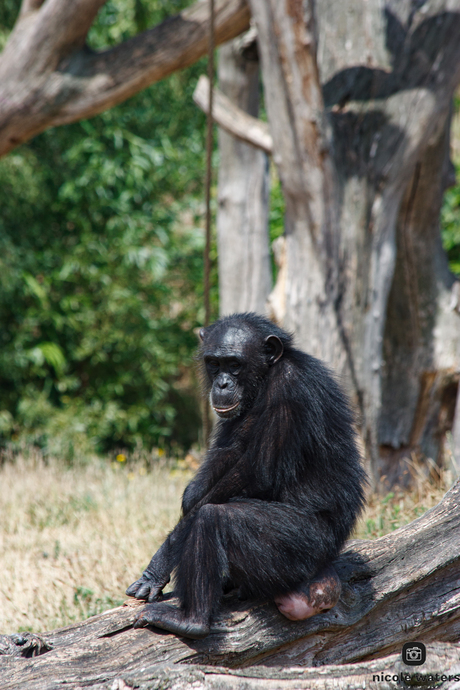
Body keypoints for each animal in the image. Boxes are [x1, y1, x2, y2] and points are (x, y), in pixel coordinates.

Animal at [126, 312, 366, 636]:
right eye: (214, 363)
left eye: (235, 364)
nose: (223, 383)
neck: (265, 378)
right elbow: (224, 458)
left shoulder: (290, 388)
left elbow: (257, 473)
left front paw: (160, 563)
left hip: (301, 550)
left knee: (213, 519)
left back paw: (191, 620)